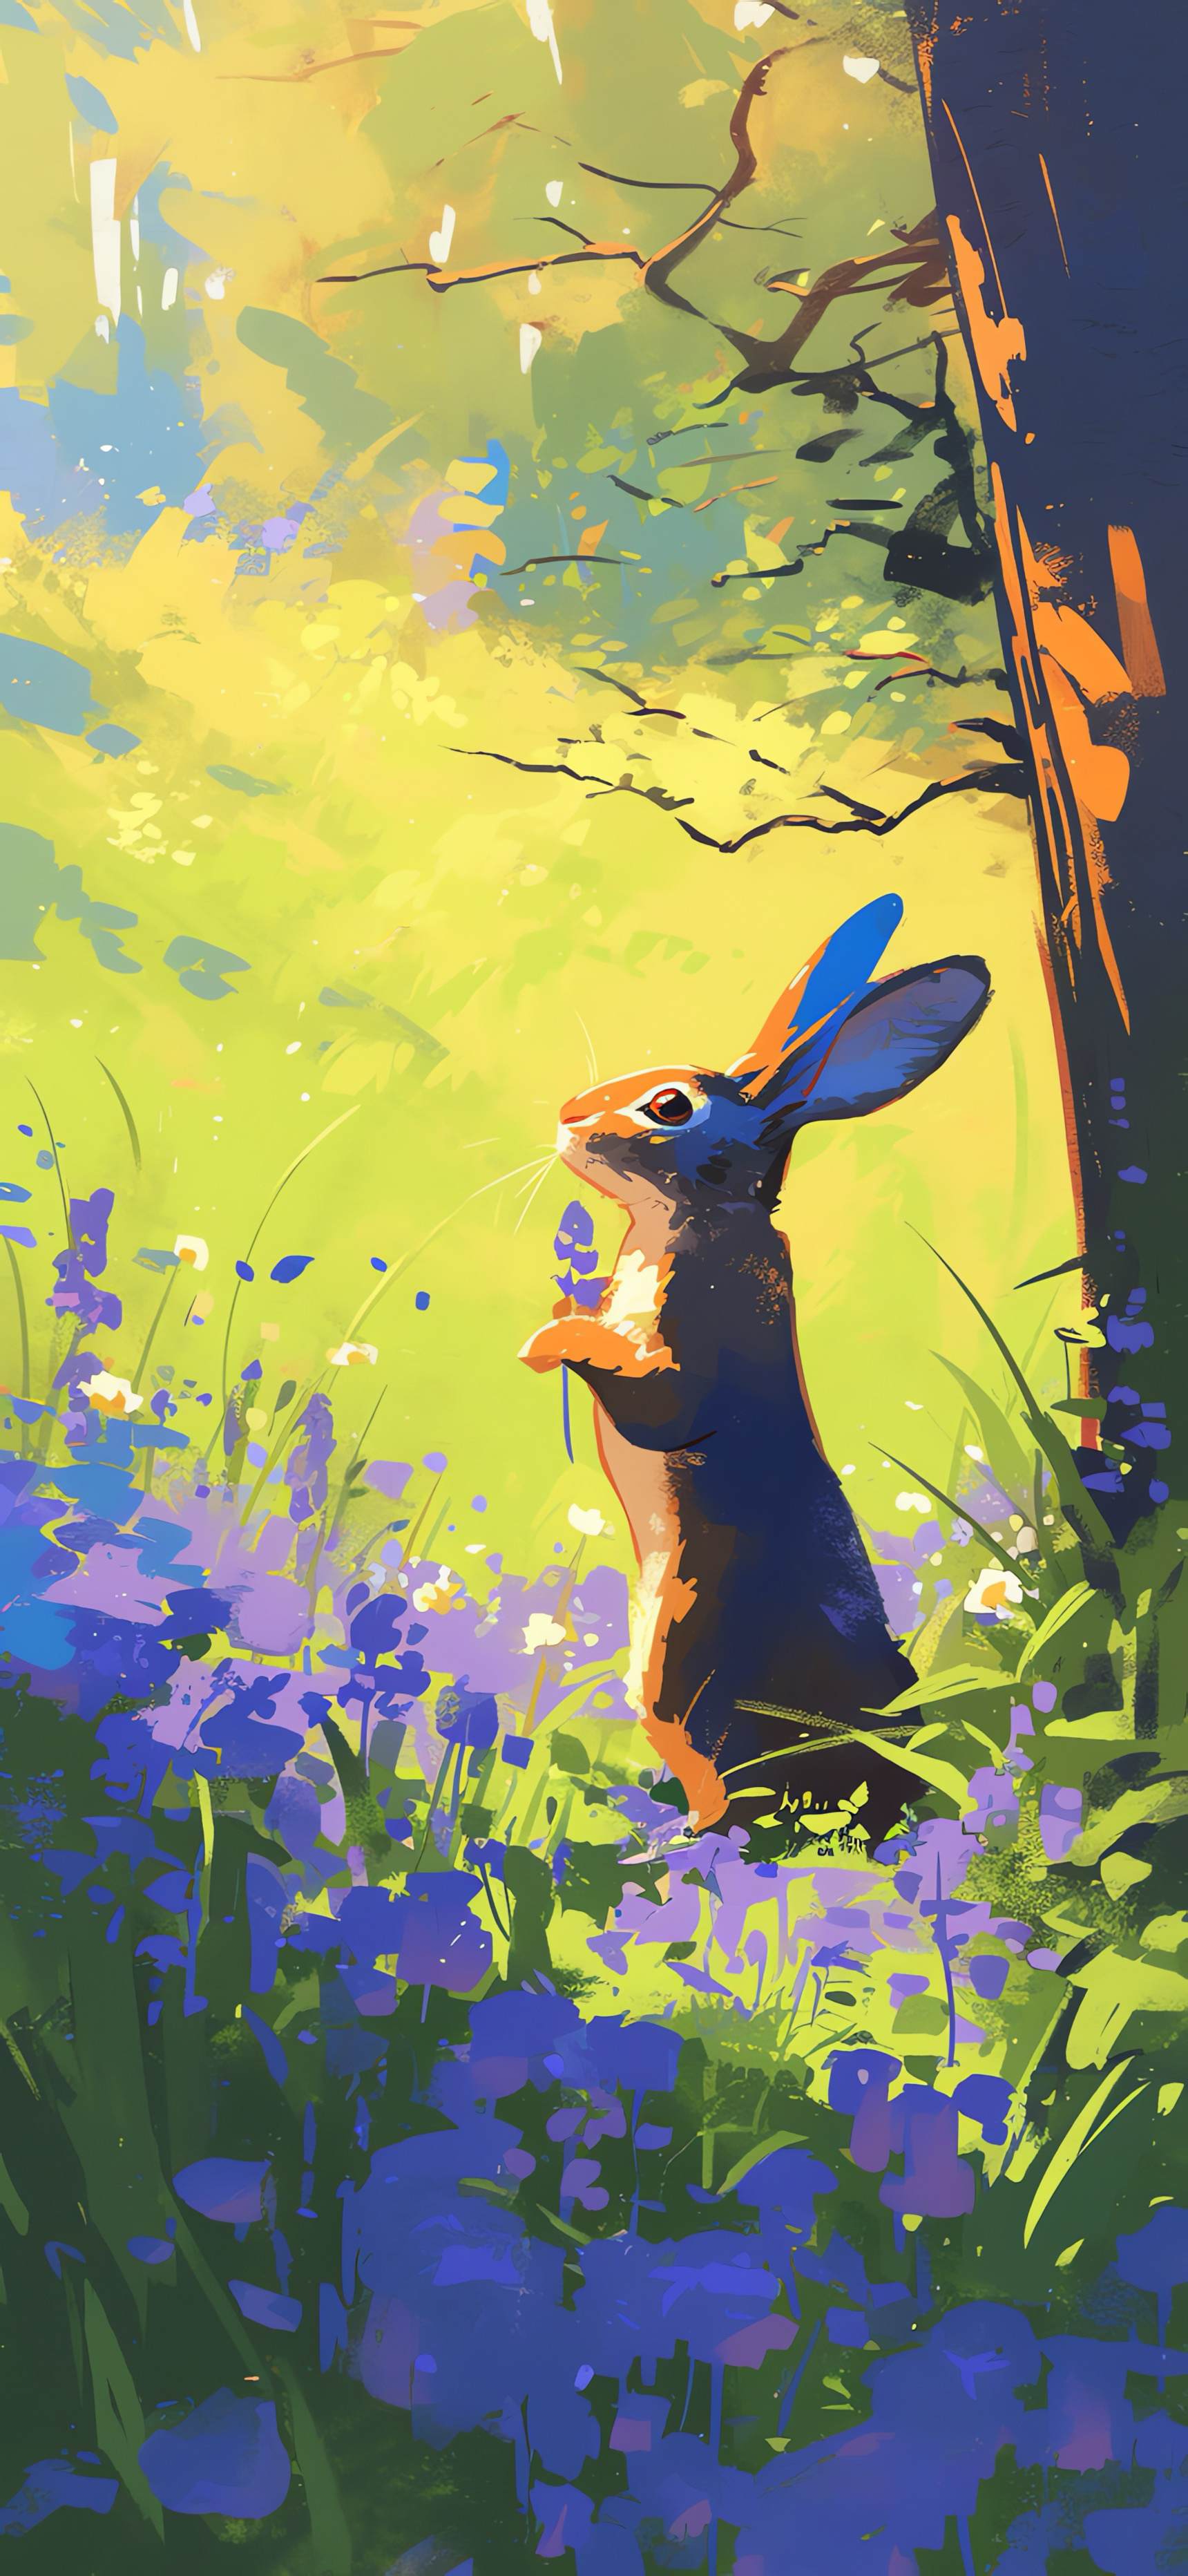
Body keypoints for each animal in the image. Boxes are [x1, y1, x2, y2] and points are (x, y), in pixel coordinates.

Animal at [521, 891, 991, 1843]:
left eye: (670, 1106)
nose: (569, 1114)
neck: (705, 1209)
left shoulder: (691, 1354)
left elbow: (650, 1395)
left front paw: (553, 1341)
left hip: (687, 1668)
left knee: (739, 1799)